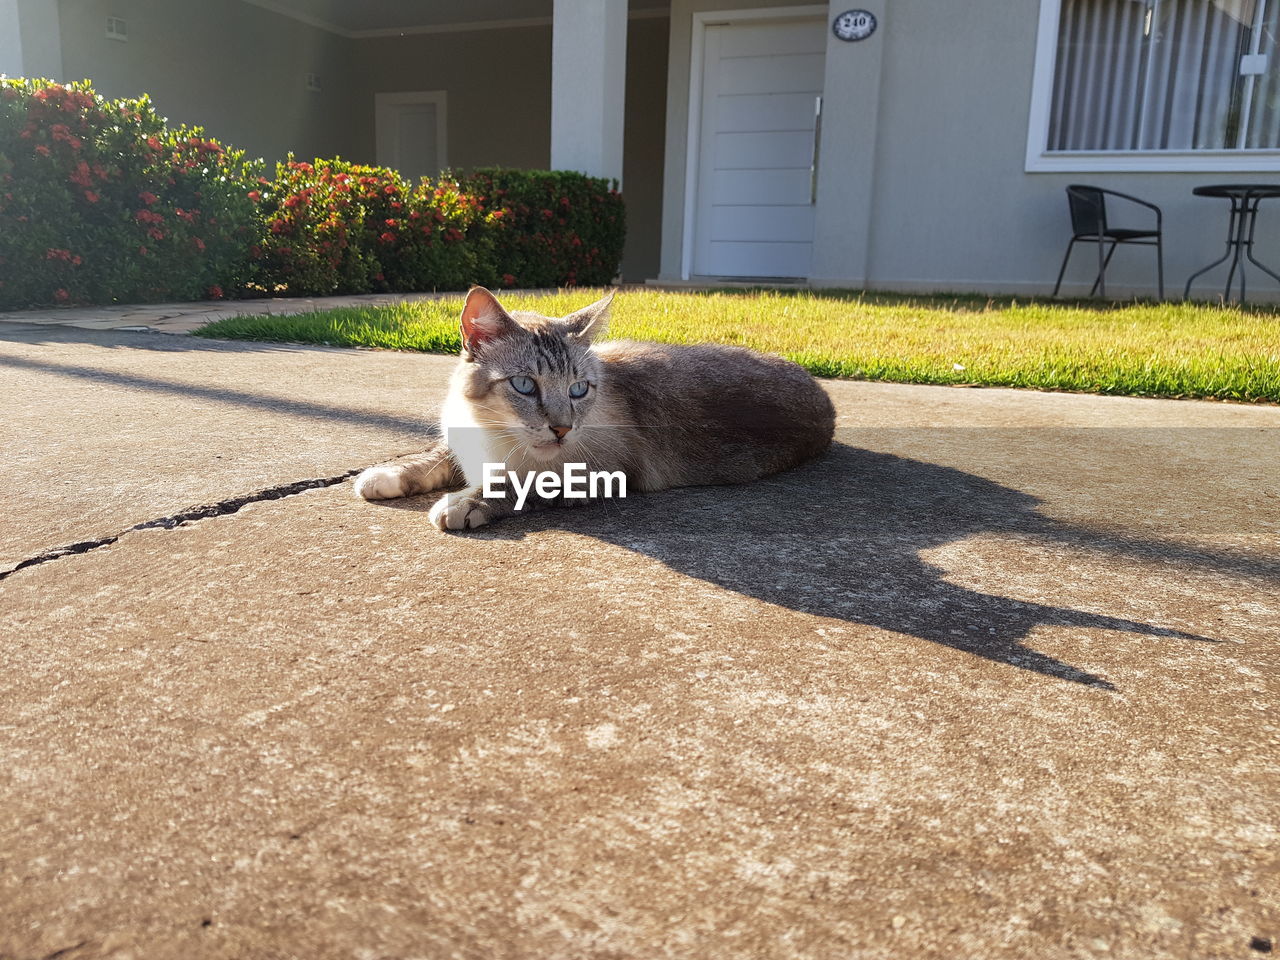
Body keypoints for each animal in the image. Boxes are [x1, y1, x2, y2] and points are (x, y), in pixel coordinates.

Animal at [355, 285, 834, 535]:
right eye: (525, 385)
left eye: (579, 389)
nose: (562, 429)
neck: (491, 433)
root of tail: (822, 392)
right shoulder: (459, 443)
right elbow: (431, 458)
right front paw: (386, 476)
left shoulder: (604, 473)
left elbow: (523, 485)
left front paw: (463, 504)